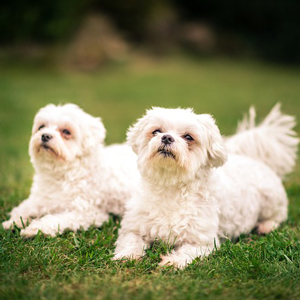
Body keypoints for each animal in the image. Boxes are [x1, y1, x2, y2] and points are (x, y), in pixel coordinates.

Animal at [2, 103, 139, 237]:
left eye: (66, 131)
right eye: (41, 127)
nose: (45, 135)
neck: (63, 173)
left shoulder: (87, 213)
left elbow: (55, 219)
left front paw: (36, 228)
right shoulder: (41, 199)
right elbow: (23, 209)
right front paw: (13, 222)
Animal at [113, 105, 298, 268]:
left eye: (188, 137)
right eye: (156, 131)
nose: (166, 137)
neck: (171, 185)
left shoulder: (202, 241)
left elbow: (187, 252)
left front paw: (173, 262)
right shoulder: (133, 228)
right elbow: (130, 241)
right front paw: (126, 256)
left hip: (271, 200)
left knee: (279, 215)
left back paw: (267, 226)